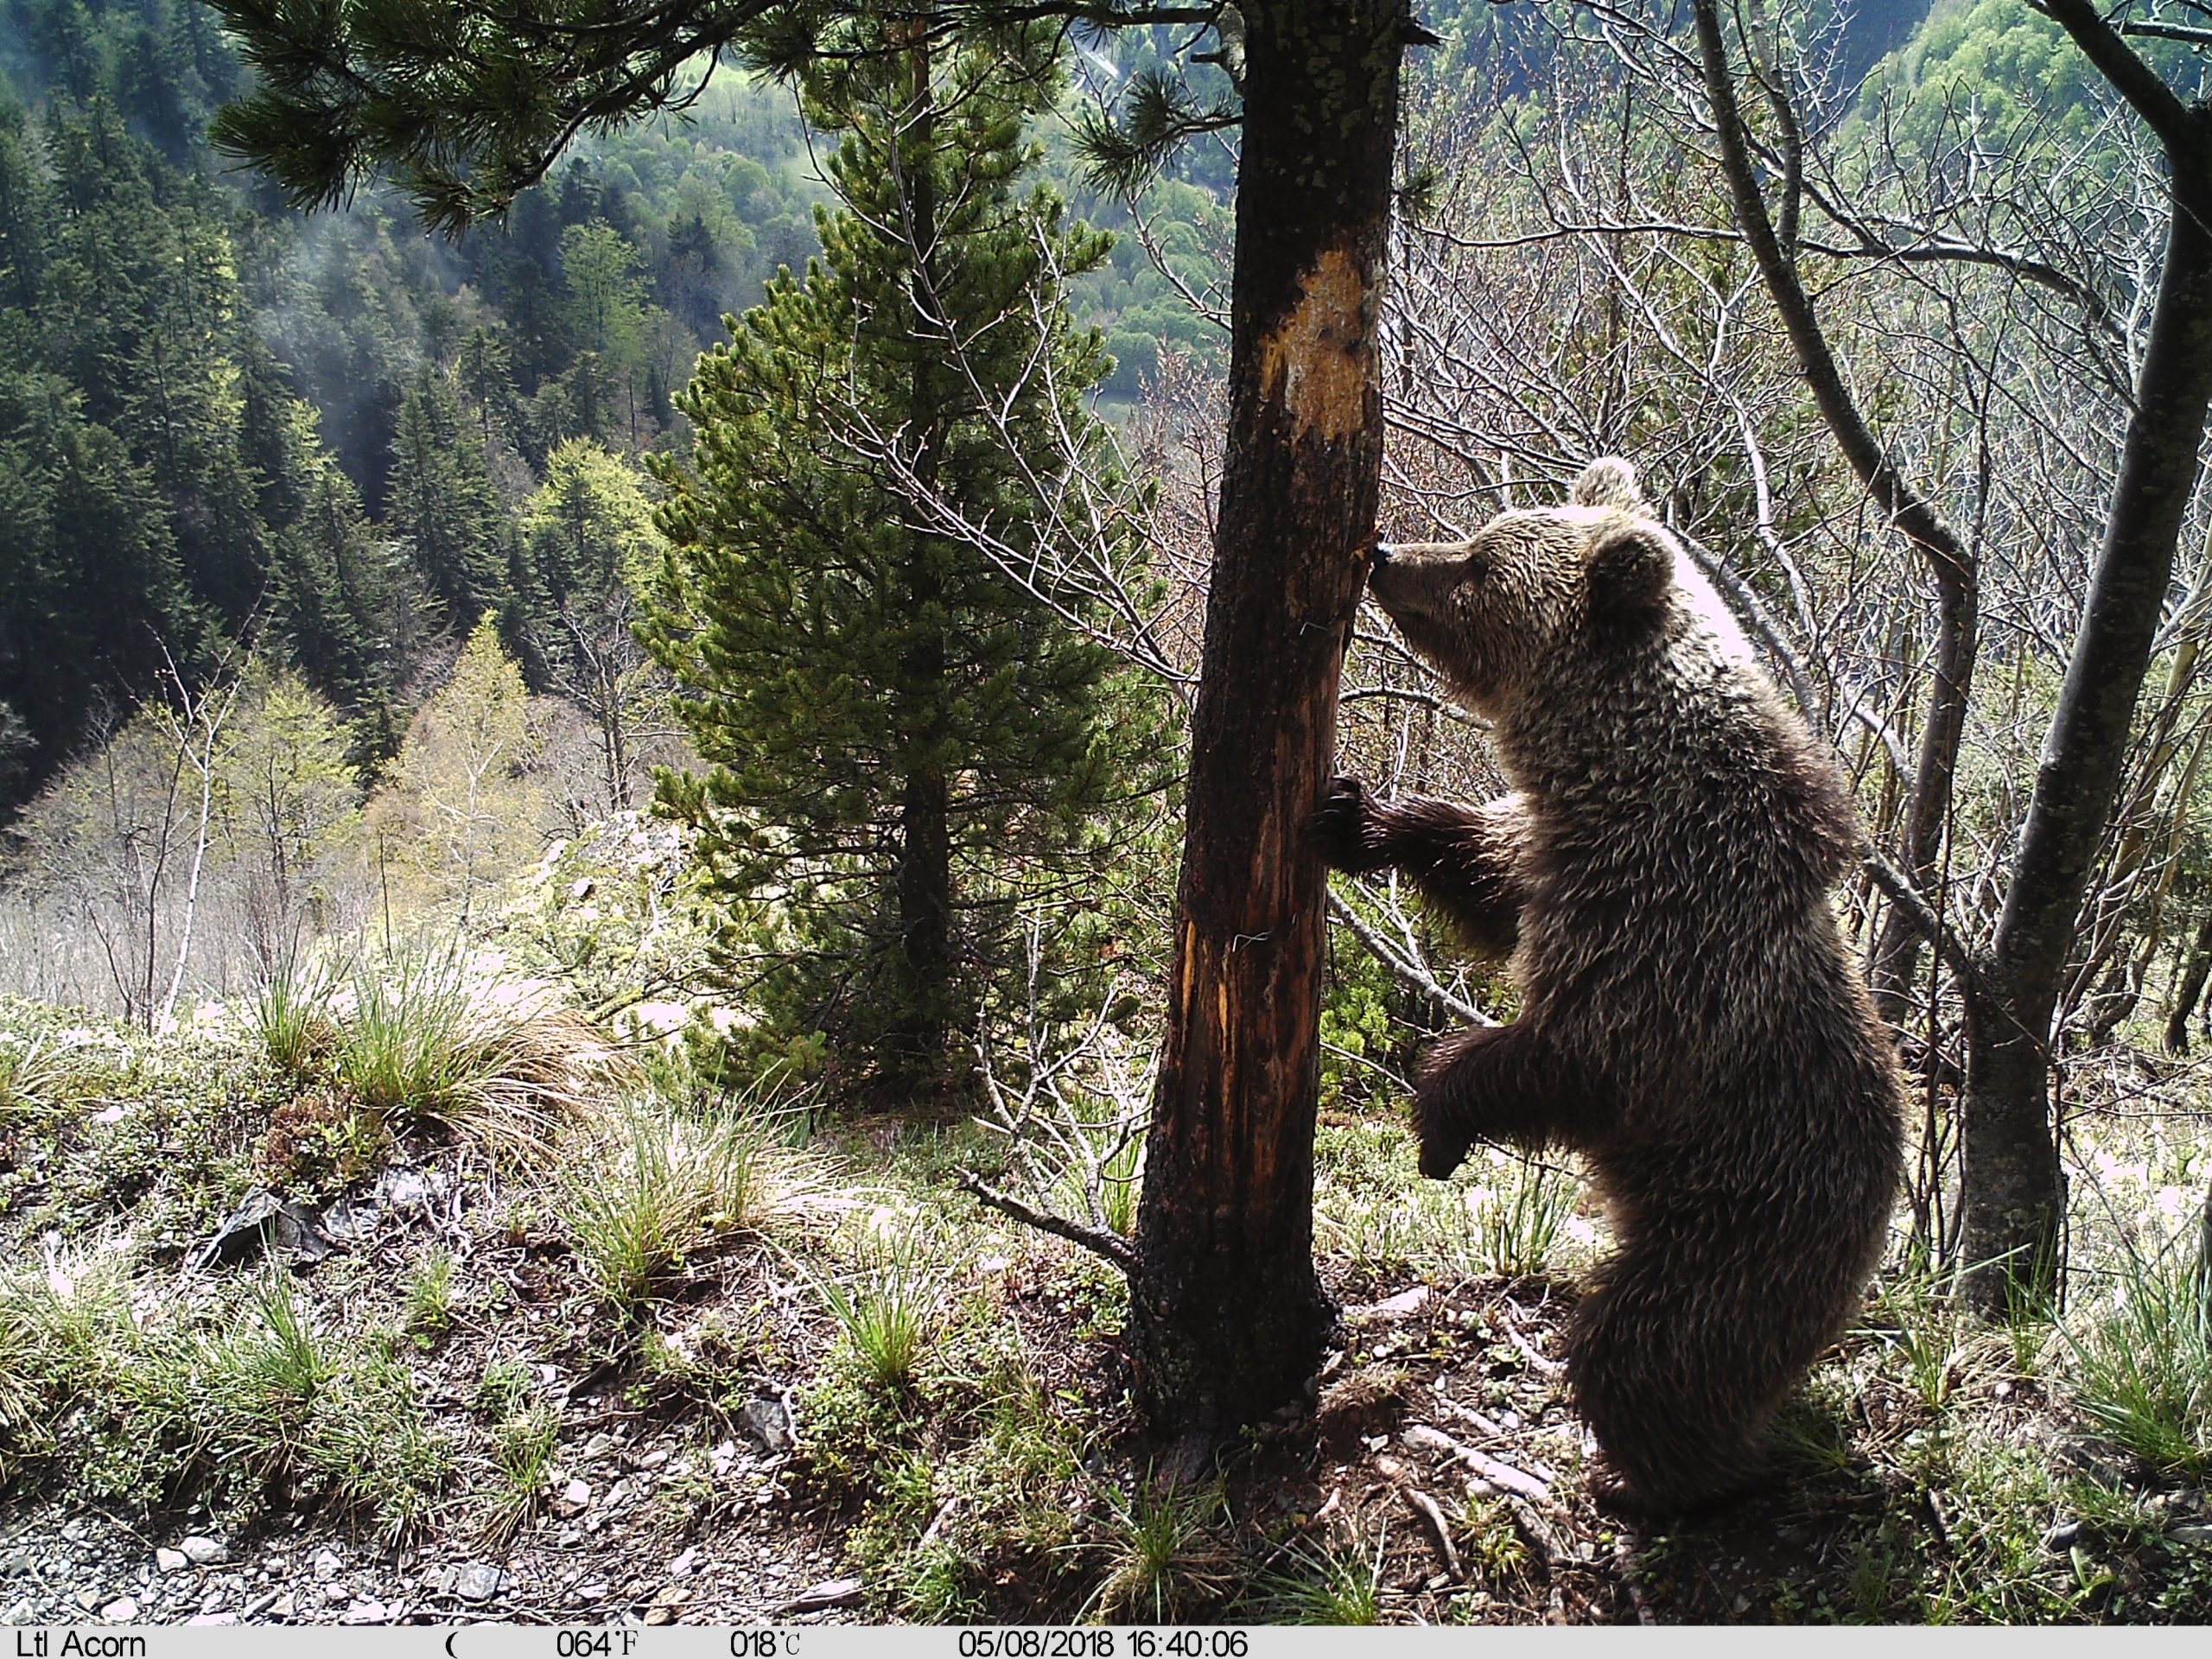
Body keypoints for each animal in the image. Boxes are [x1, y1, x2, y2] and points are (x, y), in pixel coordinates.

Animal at [1318, 455, 1910, 1522]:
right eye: (1480, 535)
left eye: (1477, 564)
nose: (1385, 550)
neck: (1621, 786)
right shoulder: (1560, 861)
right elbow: (1483, 869)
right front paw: (1360, 816)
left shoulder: (1666, 939)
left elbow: (1578, 1058)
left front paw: (1438, 1118)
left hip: (1741, 1223)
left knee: (1651, 1347)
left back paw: (1673, 1480)